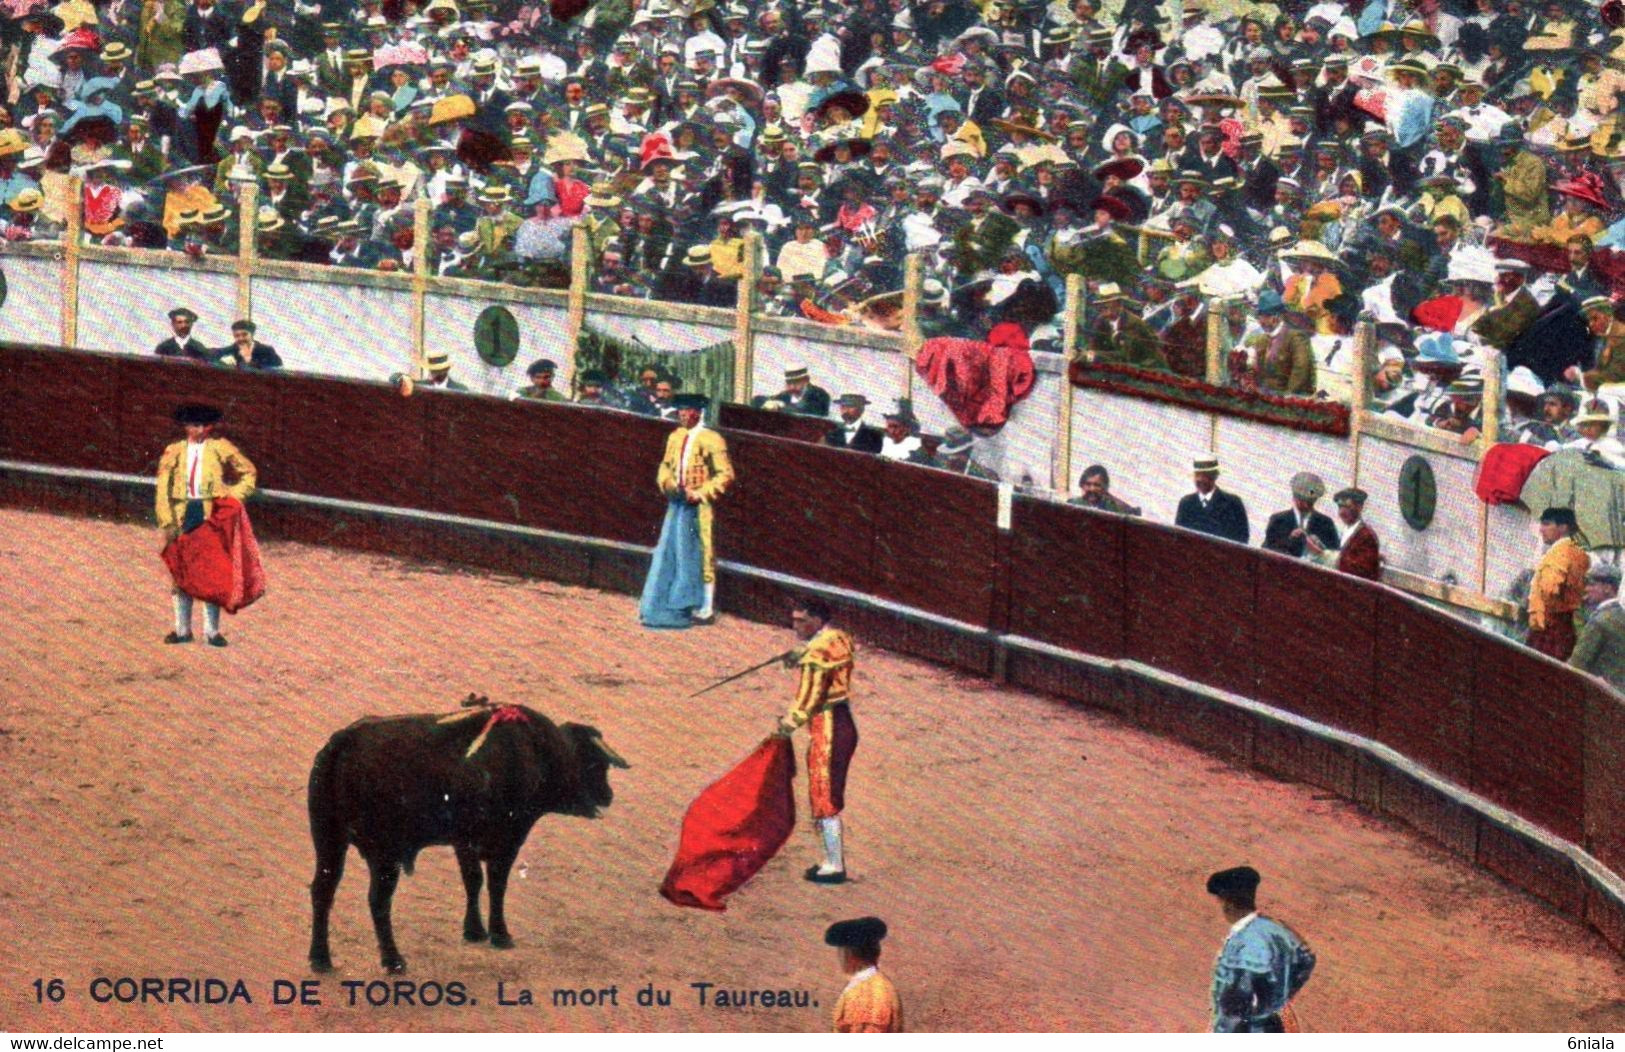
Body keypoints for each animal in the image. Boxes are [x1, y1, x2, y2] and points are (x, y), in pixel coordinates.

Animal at [305, 695, 627, 975]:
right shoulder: (509, 837)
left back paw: (321, 959)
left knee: (323, 889)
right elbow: (496, 883)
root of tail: (344, 741)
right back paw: (393, 960)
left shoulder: (464, 841)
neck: (536, 750)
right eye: (597, 763)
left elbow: (472, 880)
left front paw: (474, 931)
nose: (608, 795)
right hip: (384, 853)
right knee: (378, 901)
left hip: (328, 839)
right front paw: (500, 934)